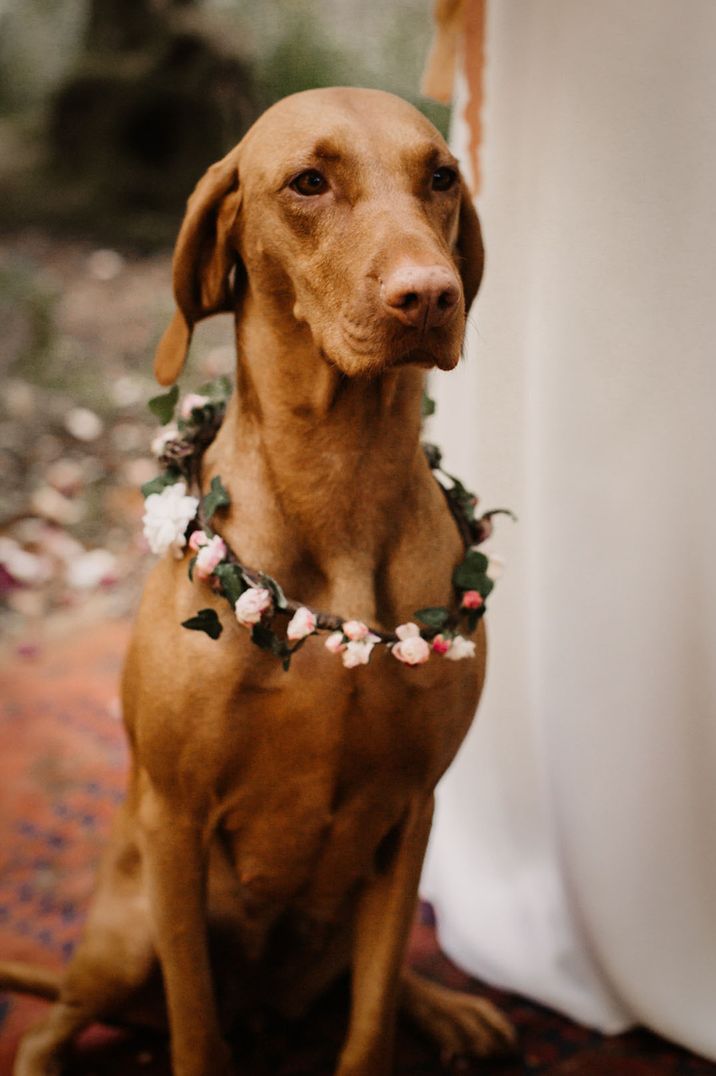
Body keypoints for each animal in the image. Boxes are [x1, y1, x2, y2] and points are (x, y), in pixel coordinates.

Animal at [1, 88, 514, 1071]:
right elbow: (197, 1029)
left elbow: (371, 1019)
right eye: (308, 182)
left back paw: (447, 1010)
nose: (432, 294)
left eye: (440, 177)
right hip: (125, 938)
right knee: (57, 1022)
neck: (341, 478)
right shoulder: (176, 821)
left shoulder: (412, 816)